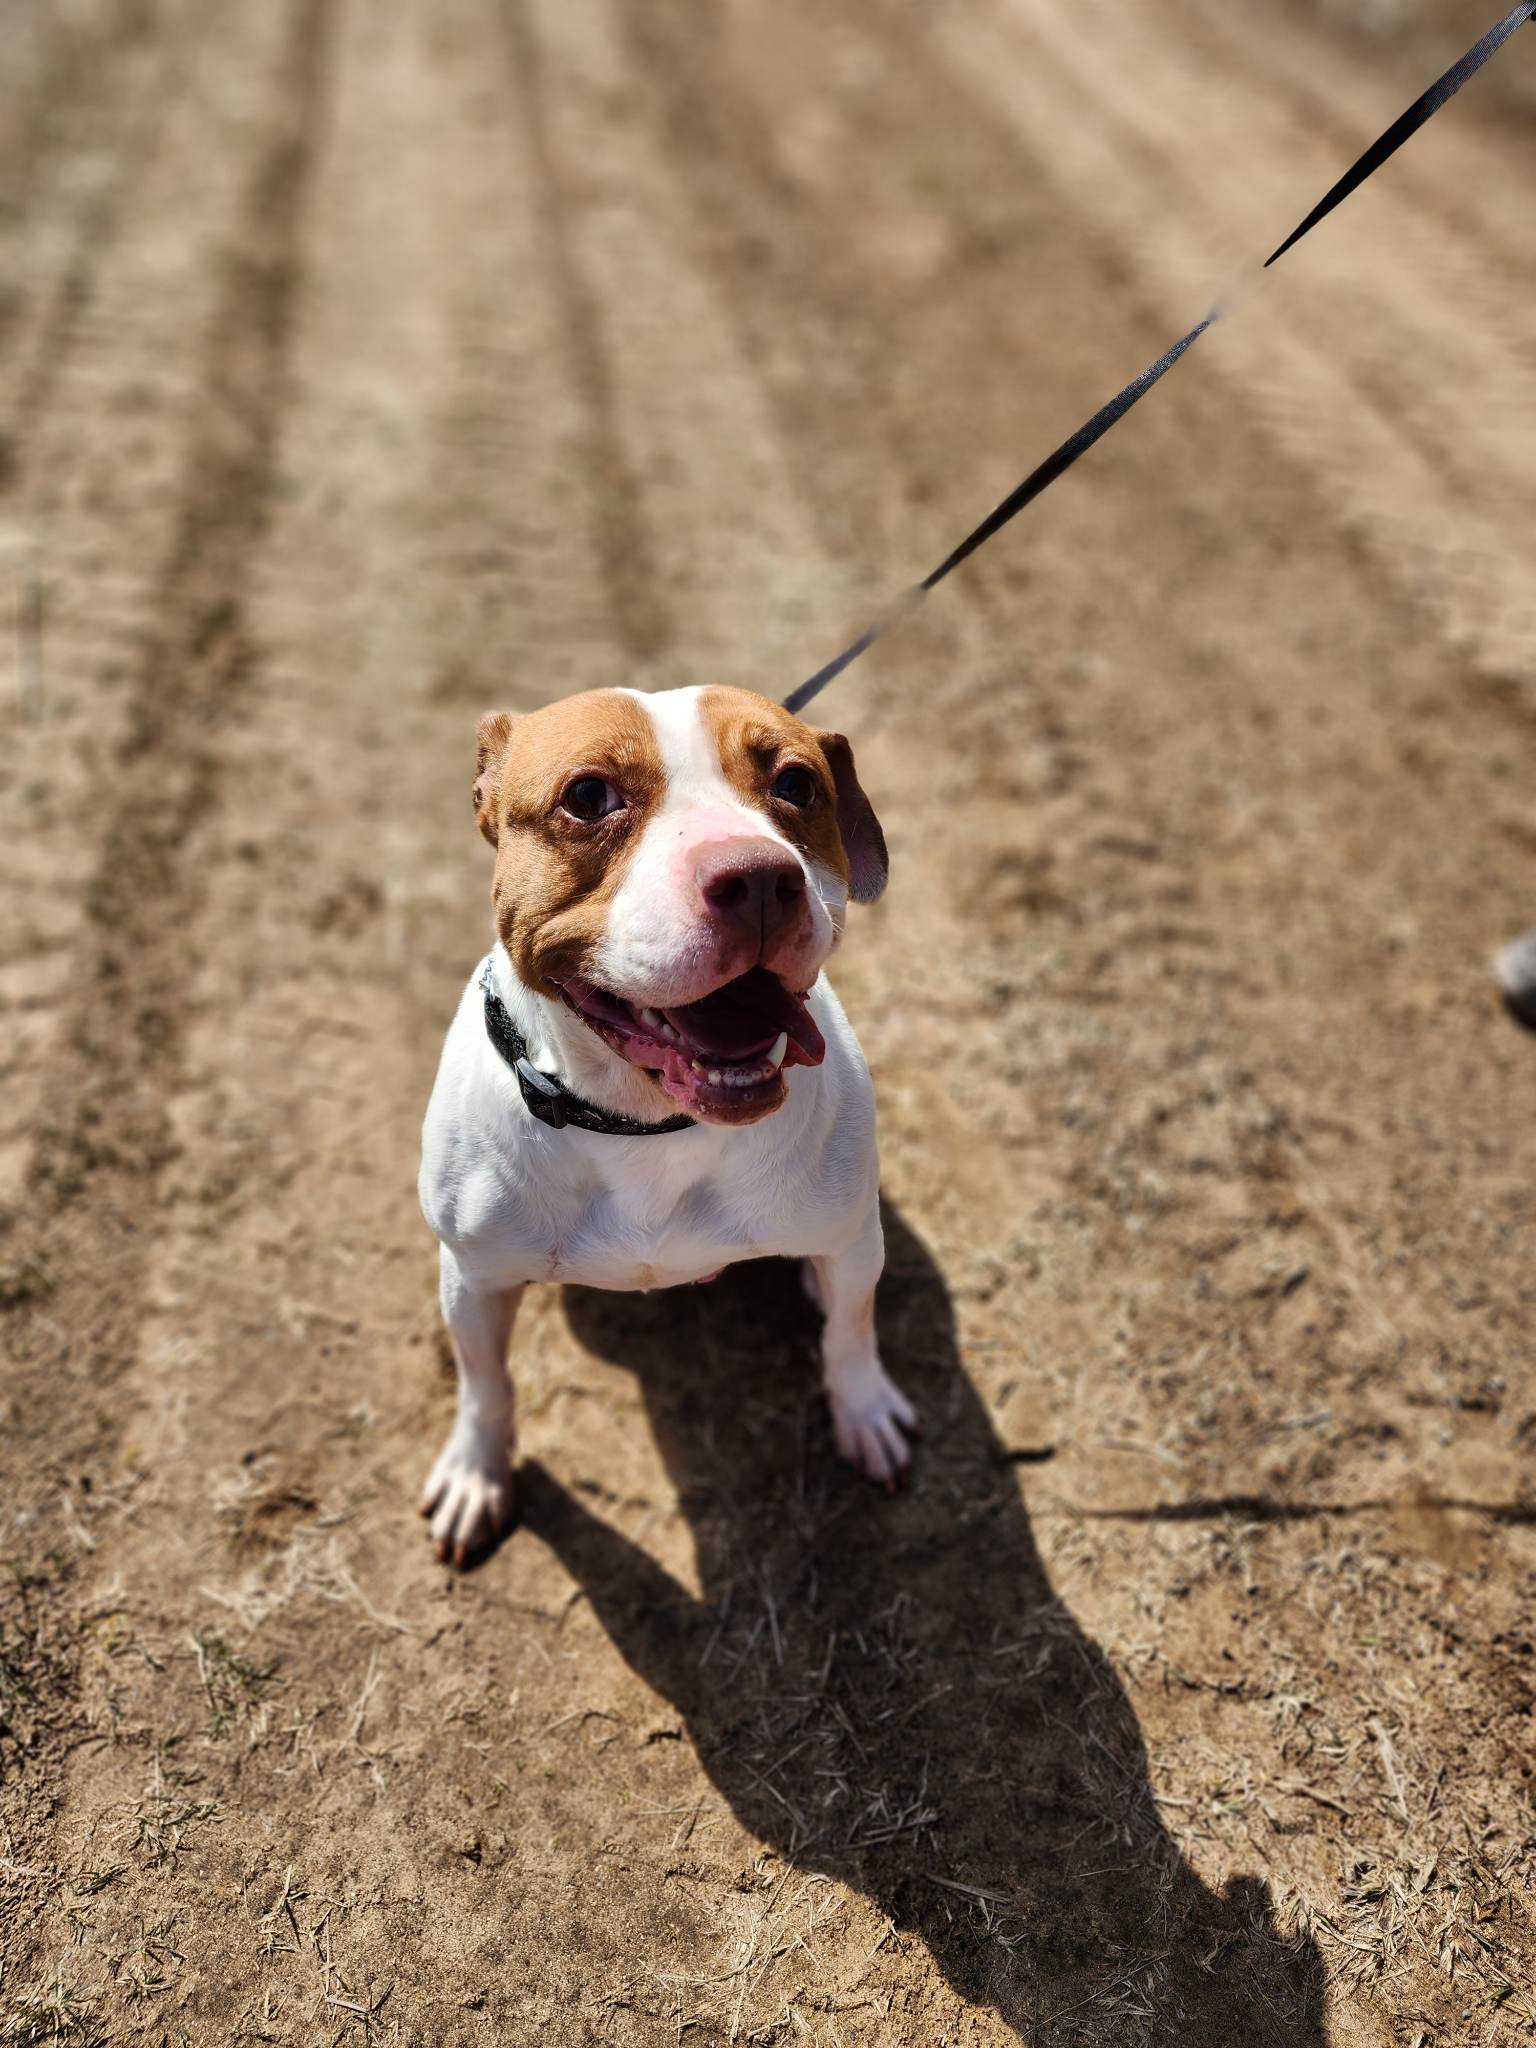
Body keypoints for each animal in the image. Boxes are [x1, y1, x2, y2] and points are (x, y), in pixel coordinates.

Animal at [415, 679, 921, 1556]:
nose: (759, 879)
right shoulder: (473, 1279)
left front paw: (864, 1410)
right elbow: (485, 1383)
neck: (645, 1124)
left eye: (797, 784)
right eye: (588, 797)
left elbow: (852, 1331)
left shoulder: (848, 1248)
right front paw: (477, 1472)